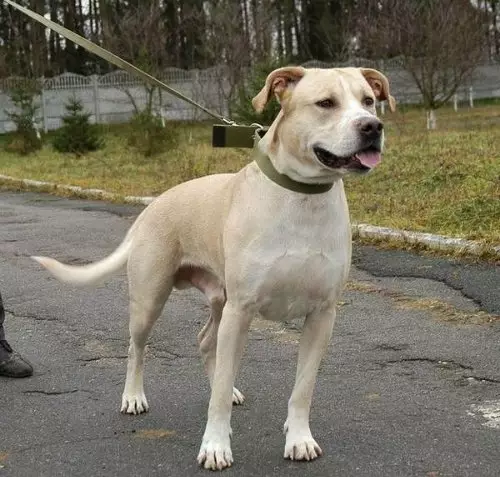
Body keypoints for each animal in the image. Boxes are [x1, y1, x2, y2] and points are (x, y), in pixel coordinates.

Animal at [33, 66, 396, 468]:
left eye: (368, 100)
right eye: (325, 103)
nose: (372, 126)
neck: (302, 197)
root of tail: (152, 206)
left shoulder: (322, 315)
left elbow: (302, 388)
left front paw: (299, 438)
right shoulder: (241, 311)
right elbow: (218, 394)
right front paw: (216, 446)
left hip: (220, 302)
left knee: (208, 344)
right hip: (151, 301)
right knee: (137, 348)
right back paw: (133, 397)